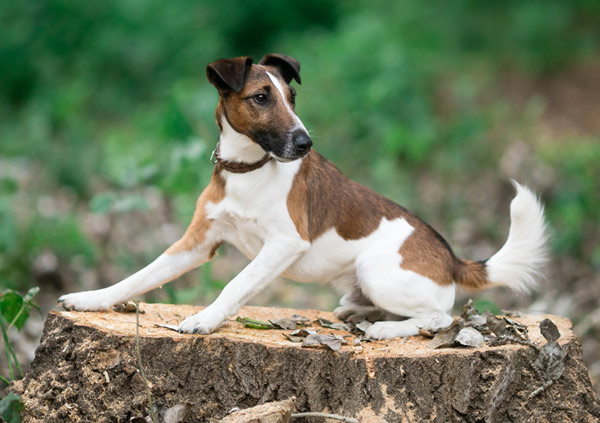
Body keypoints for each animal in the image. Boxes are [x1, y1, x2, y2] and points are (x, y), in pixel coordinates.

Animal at [58, 53, 548, 342]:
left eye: (291, 96)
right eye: (261, 97)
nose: (305, 142)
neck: (250, 170)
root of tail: (452, 260)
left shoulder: (284, 244)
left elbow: (235, 284)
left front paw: (205, 319)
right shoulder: (198, 242)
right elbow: (139, 277)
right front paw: (91, 299)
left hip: (376, 270)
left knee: (442, 317)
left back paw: (386, 329)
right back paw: (358, 314)